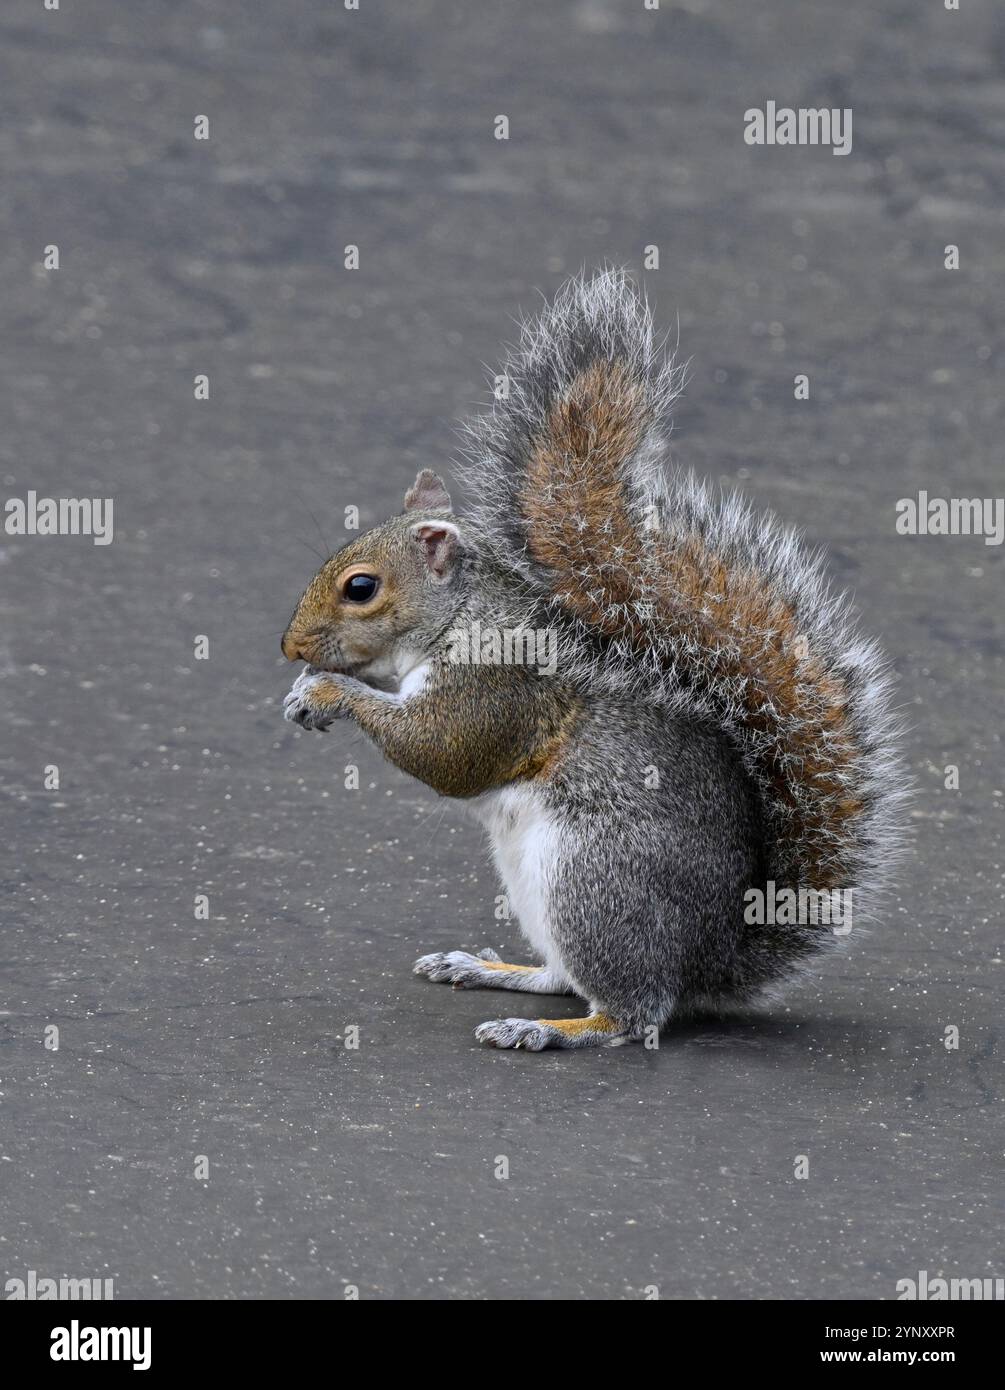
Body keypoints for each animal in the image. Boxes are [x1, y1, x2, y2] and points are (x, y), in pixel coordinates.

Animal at [281, 269, 906, 1051]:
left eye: (360, 588)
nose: (289, 646)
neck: (459, 617)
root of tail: (708, 963)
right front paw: (304, 687)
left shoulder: (497, 685)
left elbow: (445, 752)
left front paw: (328, 693)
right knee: (562, 977)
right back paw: (489, 970)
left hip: (589, 884)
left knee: (630, 1015)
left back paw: (544, 1030)